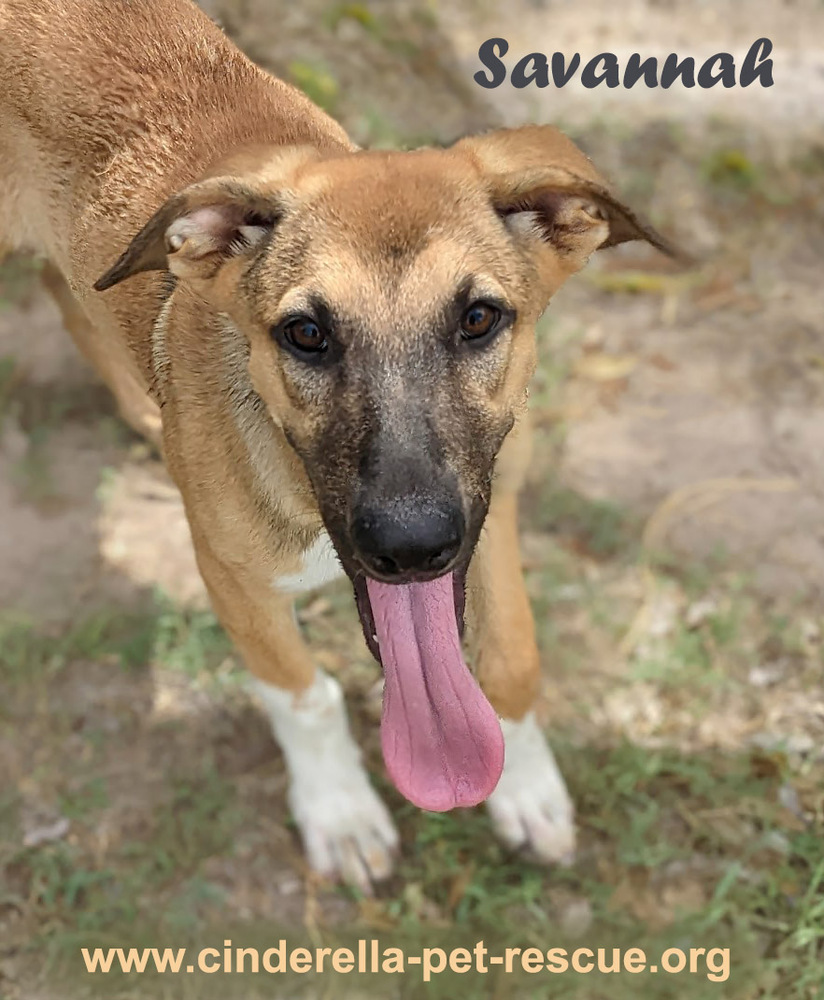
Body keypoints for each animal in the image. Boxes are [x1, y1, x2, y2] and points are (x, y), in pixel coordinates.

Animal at [0, 0, 672, 892]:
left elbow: (511, 659)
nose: (410, 546)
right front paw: (342, 814)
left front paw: (528, 791)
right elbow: (303, 693)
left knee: (62, 288)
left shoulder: (493, 513)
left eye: (480, 318)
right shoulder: (232, 577)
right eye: (307, 334)